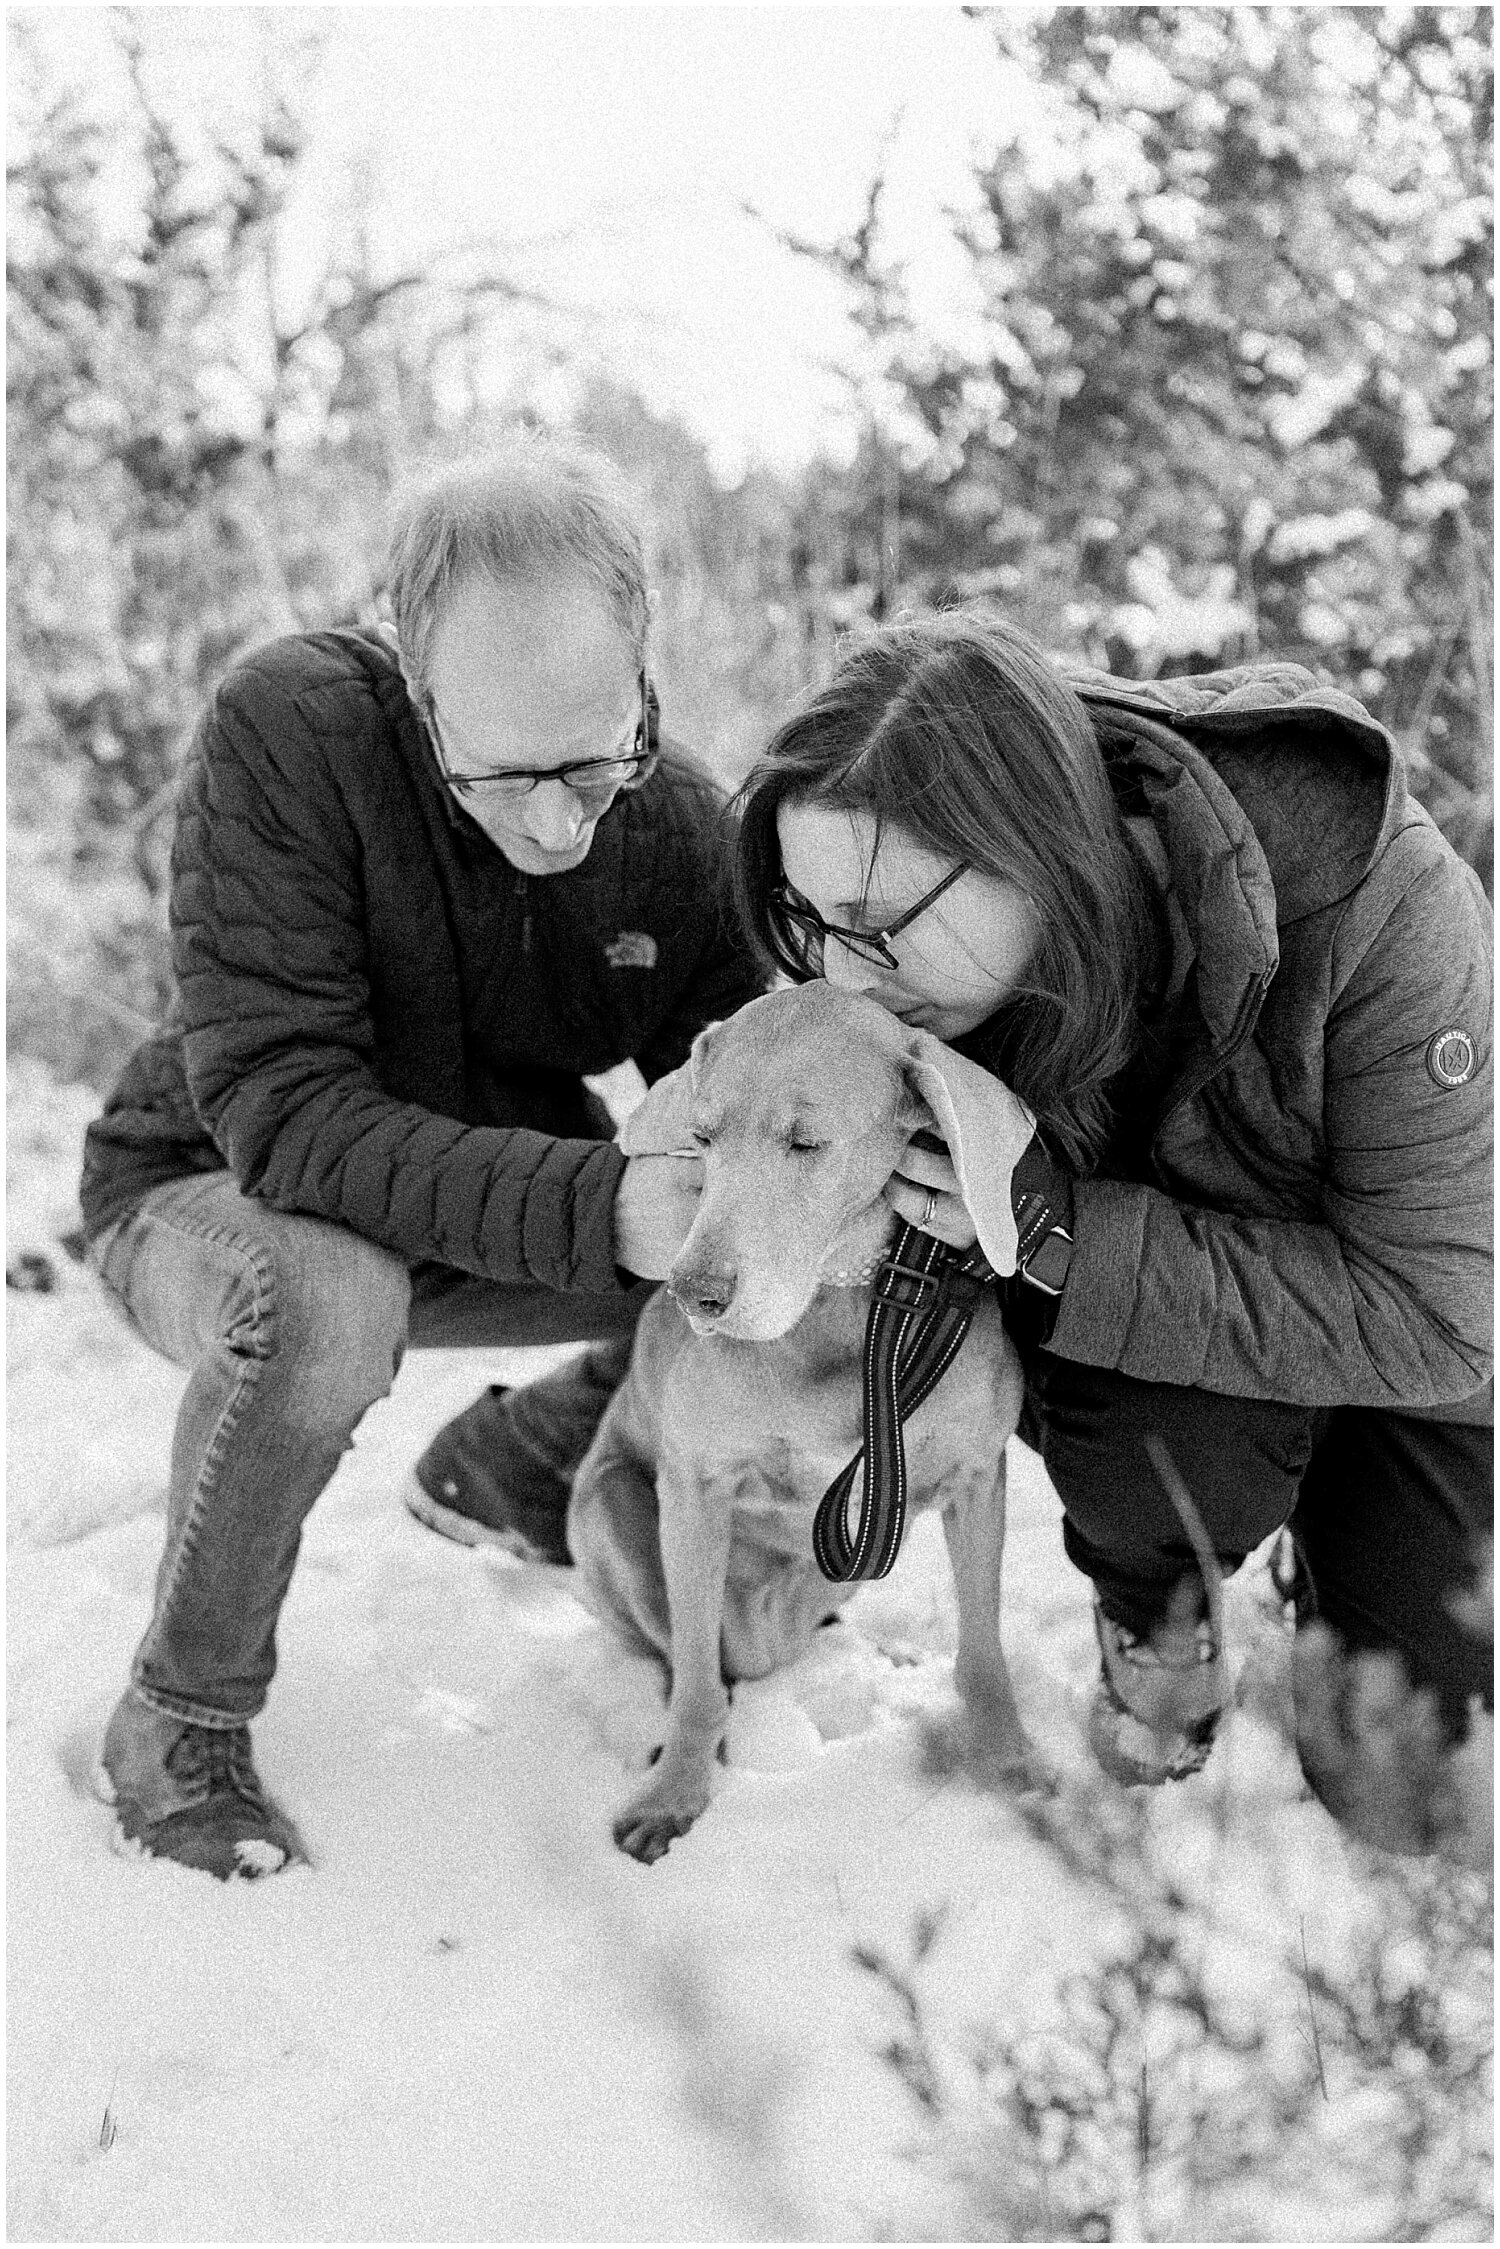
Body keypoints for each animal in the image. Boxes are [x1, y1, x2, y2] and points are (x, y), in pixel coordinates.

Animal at [568, 985, 1052, 1862]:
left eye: (807, 1142)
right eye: (702, 1137)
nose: (694, 1293)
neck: (842, 1309)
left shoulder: (976, 1476)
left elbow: (984, 1649)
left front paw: (1009, 1761)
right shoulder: (695, 1486)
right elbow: (696, 1677)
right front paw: (675, 1792)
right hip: (608, 1502)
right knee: (685, 1657)